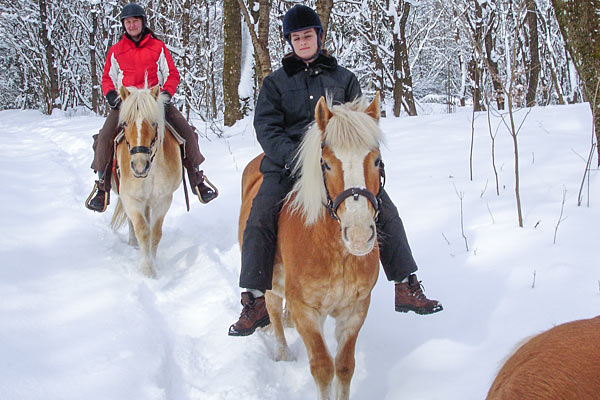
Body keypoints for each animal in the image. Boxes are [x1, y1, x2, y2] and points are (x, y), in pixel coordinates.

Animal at [109, 85, 182, 278]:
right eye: (125, 123)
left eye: (154, 123)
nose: (139, 166)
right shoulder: (131, 199)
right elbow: (142, 230)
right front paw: (147, 269)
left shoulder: (162, 200)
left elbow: (155, 233)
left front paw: (153, 261)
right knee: (132, 222)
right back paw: (133, 243)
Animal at [239, 92, 384, 398]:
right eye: (327, 163)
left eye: (376, 160)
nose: (358, 235)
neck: (334, 252)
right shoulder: (306, 309)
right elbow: (322, 367)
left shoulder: (356, 309)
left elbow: (344, 366)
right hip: (270, 281)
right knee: (272, 308)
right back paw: (282, 351)